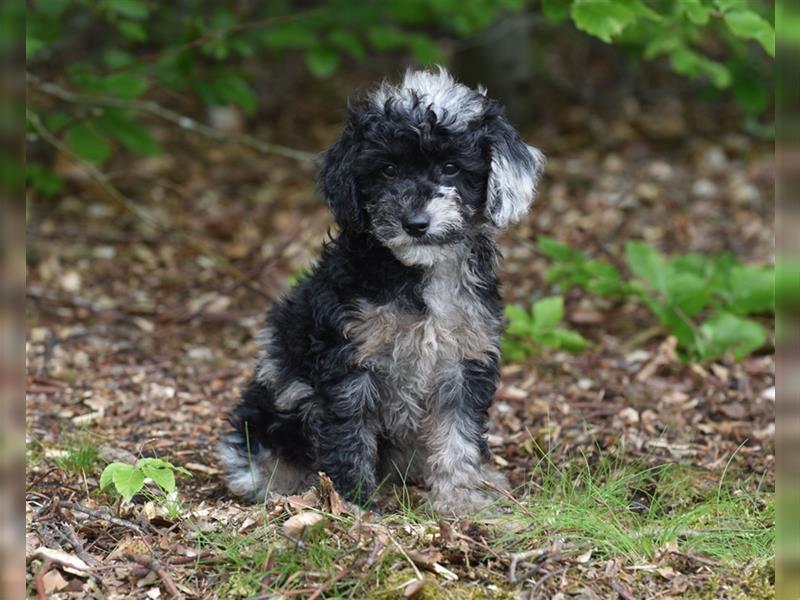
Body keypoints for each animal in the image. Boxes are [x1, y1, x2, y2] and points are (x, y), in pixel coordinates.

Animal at [217, 68, 544, 512]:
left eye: (451, 167)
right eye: (388, 169)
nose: (415, 223)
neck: (420, 273)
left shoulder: (465, 359)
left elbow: (458, 435)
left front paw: (461, 497)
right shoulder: (350, 360)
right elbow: (348, 433)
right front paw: (352, 502)